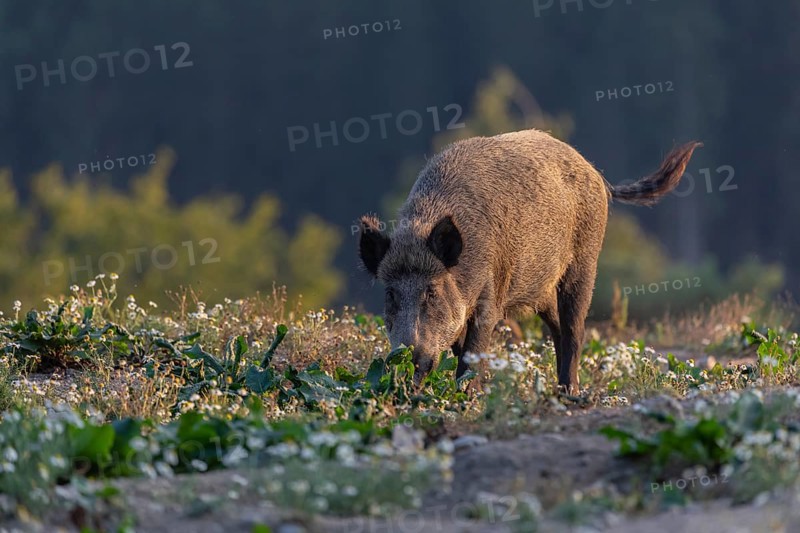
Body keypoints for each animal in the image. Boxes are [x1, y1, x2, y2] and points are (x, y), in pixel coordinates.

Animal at [358, 129, 701, 394]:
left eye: (431, 291)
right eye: (390, 294)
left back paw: (570, 394)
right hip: (542, 288)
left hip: (585, 261)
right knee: (558, 329)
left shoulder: (489, 297)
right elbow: (458, 349)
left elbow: (473, 352)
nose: (405, 359)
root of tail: (598, 176)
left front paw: (467, 396)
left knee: (575, 328)